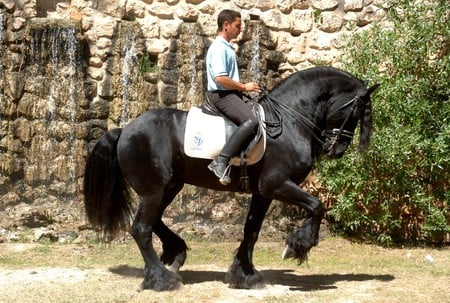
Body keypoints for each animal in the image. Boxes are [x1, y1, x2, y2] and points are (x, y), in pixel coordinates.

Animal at [82, 67, 378, 292]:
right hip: (153, 190)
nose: (336, 150)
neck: (290, 122)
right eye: (355, 112)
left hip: (169, 187)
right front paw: (296, 247)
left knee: (153, 223)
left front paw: (245, 275)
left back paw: (173, 256)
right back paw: (162, 279)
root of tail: (124, 129)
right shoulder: (277, 184)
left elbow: (252, 231)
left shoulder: (263, 192)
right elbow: (317, 206)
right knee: (141, 229)